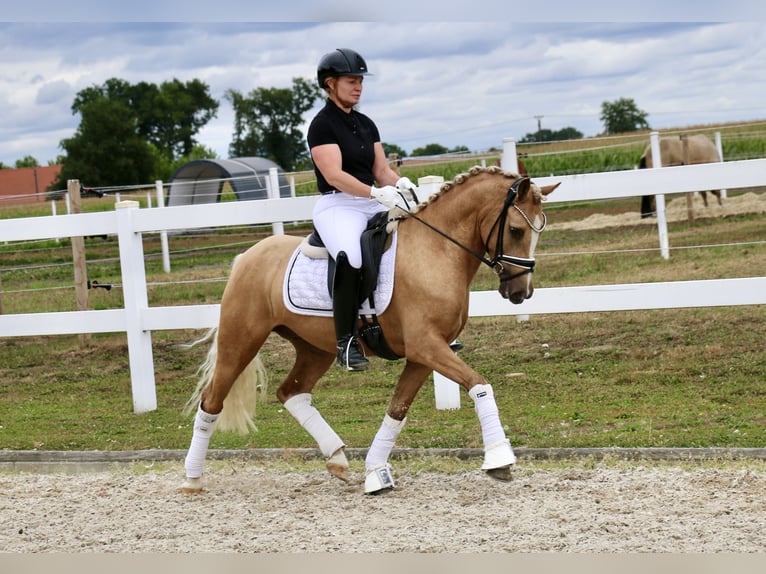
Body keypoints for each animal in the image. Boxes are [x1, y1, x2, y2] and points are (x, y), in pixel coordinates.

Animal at [180, 165, 559, 495]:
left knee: (292, 393)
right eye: (516, 230)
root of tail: (246, 257)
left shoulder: (425, 355)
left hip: (314, 348)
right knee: (212, 401)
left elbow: (397, 411)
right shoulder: (426, 347)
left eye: (539, 231)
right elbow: (479, 385)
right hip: (241, 340)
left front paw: (376, 472)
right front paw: (499, 459)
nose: (520, 292)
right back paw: (192, 479)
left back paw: (337, 458)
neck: (435, 250)